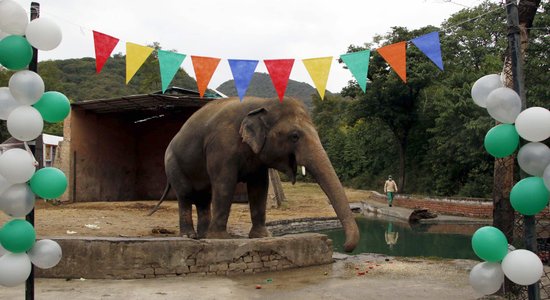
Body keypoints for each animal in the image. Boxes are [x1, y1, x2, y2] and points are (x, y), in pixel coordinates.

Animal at [162, 97, 360, 252]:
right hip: (172, 163)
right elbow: (225, 183)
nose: (344, 247)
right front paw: (223, 238)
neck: (263, 103)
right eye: (294, 136)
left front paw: (263, 236)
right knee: (185, 194)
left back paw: (203, 236)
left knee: (203, 198)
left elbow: (259, 186)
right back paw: (190, 236)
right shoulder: (221, 146)